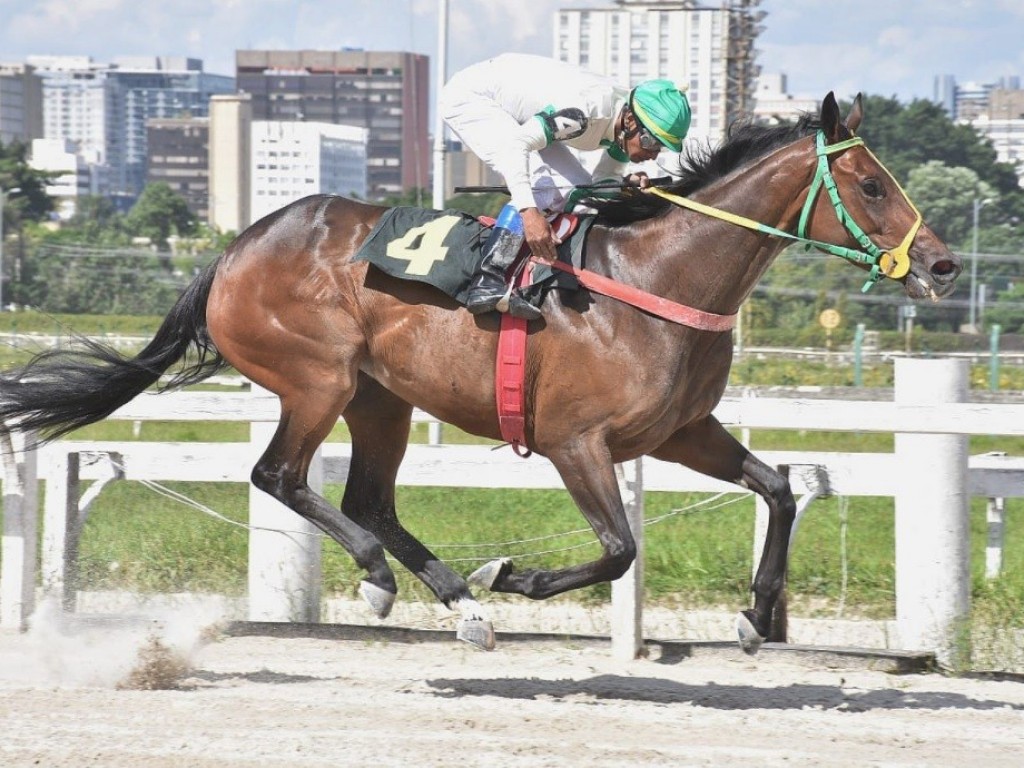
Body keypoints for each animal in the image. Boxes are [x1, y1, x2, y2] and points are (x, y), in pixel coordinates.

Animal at [0, 91, 958, 655]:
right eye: (872, 186)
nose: (943, 266)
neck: (658, 277)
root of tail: (234, 247)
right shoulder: (577, 441)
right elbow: (619, 549)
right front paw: (517, 576)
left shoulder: (682, 431)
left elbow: (780, 487)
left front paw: (757, 618)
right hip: (317, 380)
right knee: (280, 476)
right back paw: (390, 581)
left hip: (381, 397)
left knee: (366, 497)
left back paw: (458, 601)